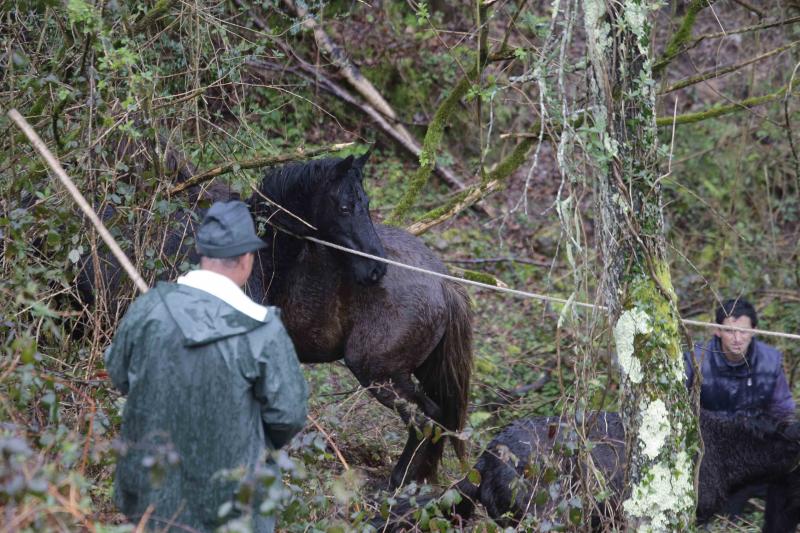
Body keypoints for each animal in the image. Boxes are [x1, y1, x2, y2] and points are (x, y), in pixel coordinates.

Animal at [245, 153, 473, 488]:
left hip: (379, 374)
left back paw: (396, 482)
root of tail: (442, 283)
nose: (376, 269)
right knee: (439, 417)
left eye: (364, 203)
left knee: (424, 418)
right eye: (344, 207)